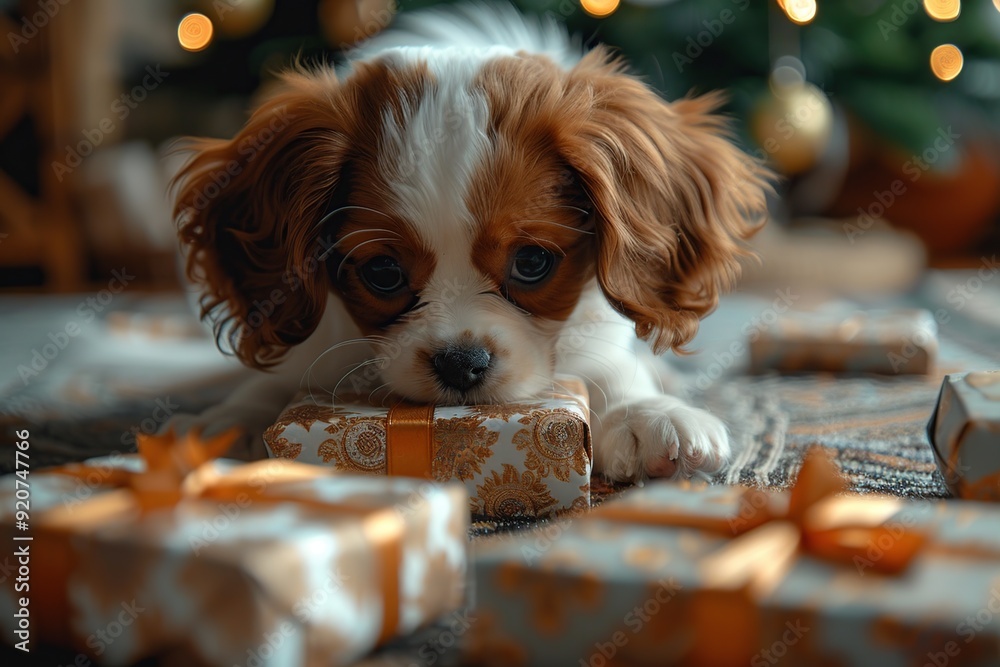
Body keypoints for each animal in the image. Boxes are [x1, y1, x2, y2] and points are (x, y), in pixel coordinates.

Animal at [168, 0, 768, 480]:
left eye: (532, 262)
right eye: (382, 272)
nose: (461, 363)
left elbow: (608, 364)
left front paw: (645, 412)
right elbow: (281, 379)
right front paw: (237, 418)